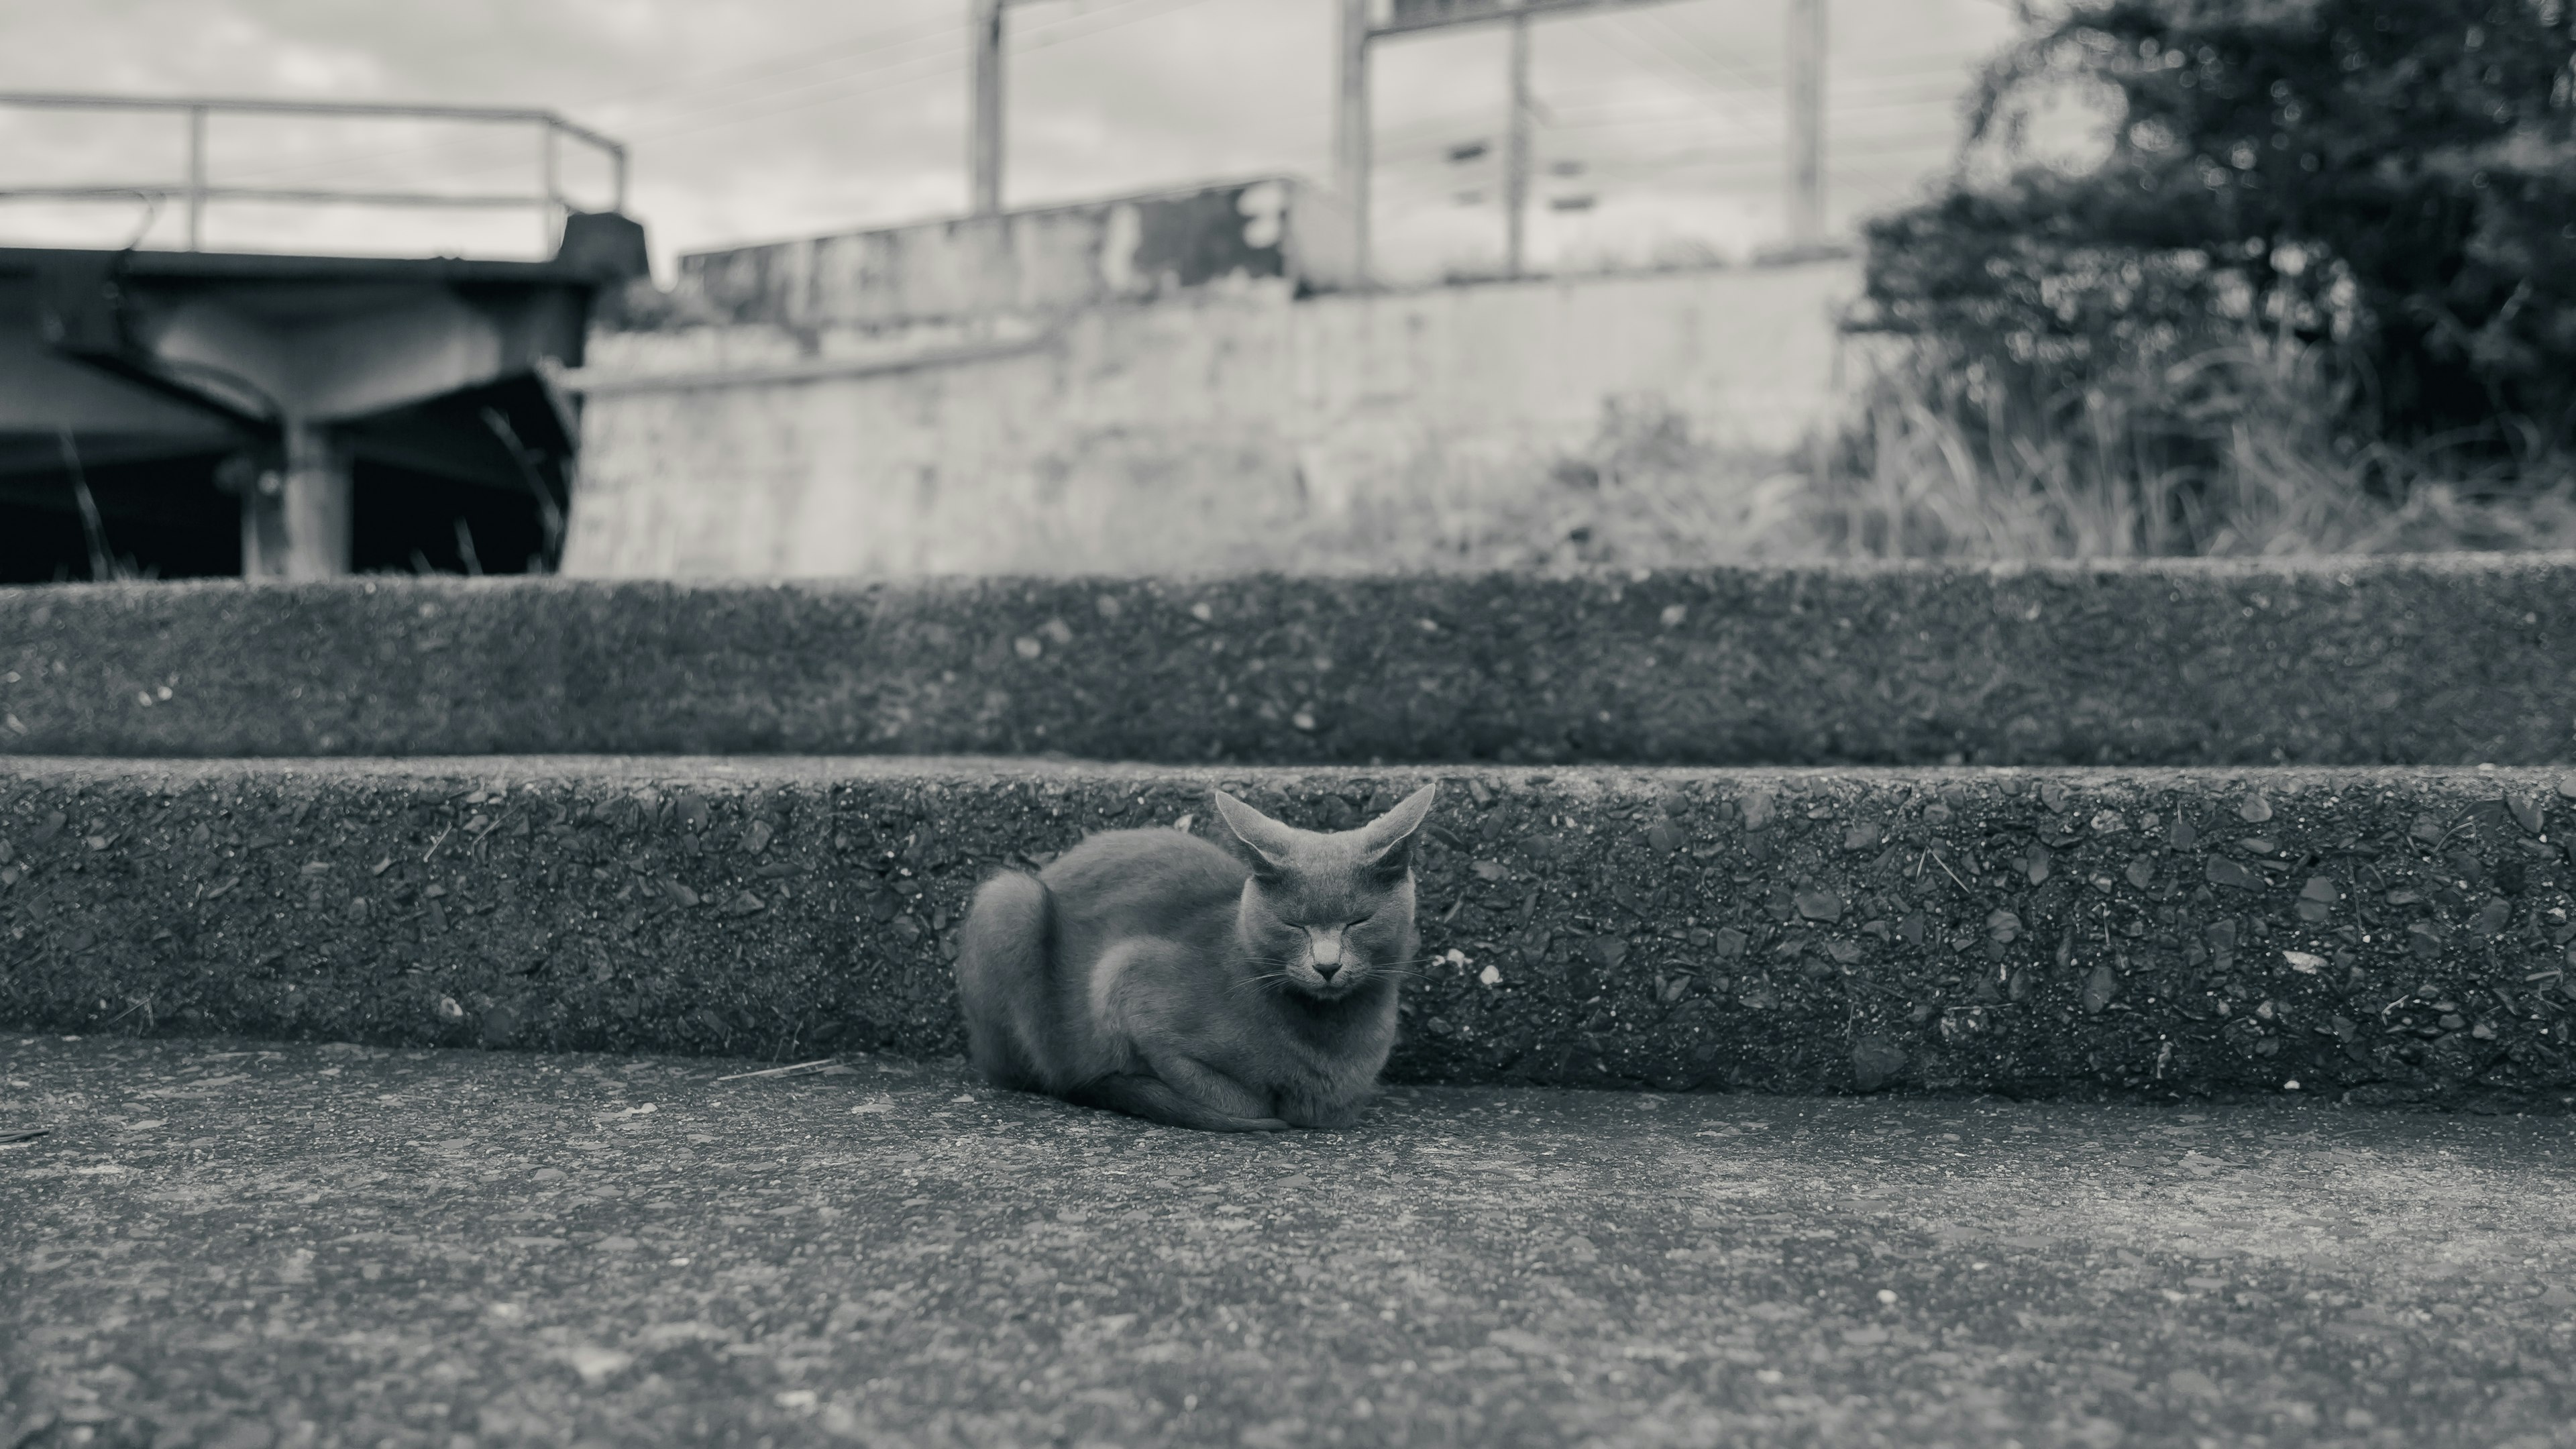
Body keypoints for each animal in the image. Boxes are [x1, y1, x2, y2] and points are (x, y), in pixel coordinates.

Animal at [958, 778, 1442, 1129]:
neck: (1330, 1037)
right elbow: (1241, 1101)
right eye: (1293, 924)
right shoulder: (1126, 977)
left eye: (1358, 921)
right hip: (1009, 903)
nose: (1327, 965)